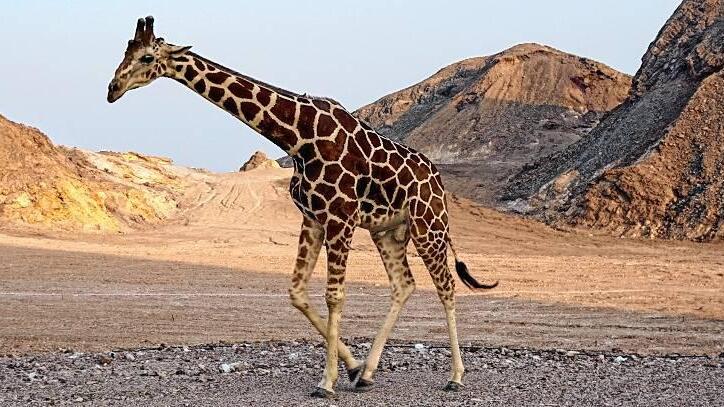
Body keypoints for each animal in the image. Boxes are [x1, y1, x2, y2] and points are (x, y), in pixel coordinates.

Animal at [106, 16, 498, 398]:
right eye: (126, 51)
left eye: (146, 57)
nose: (112, 89)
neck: (299, 138)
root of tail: (438, 180)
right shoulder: (313, 218)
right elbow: (296, 292)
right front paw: (352, 368)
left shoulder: (341, 217)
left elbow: (334, 295)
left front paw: (327, 382)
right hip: (388, 230)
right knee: (404, 285)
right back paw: (369, 373)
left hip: (429, 224)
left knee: (446, 286)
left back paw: (456, 376)